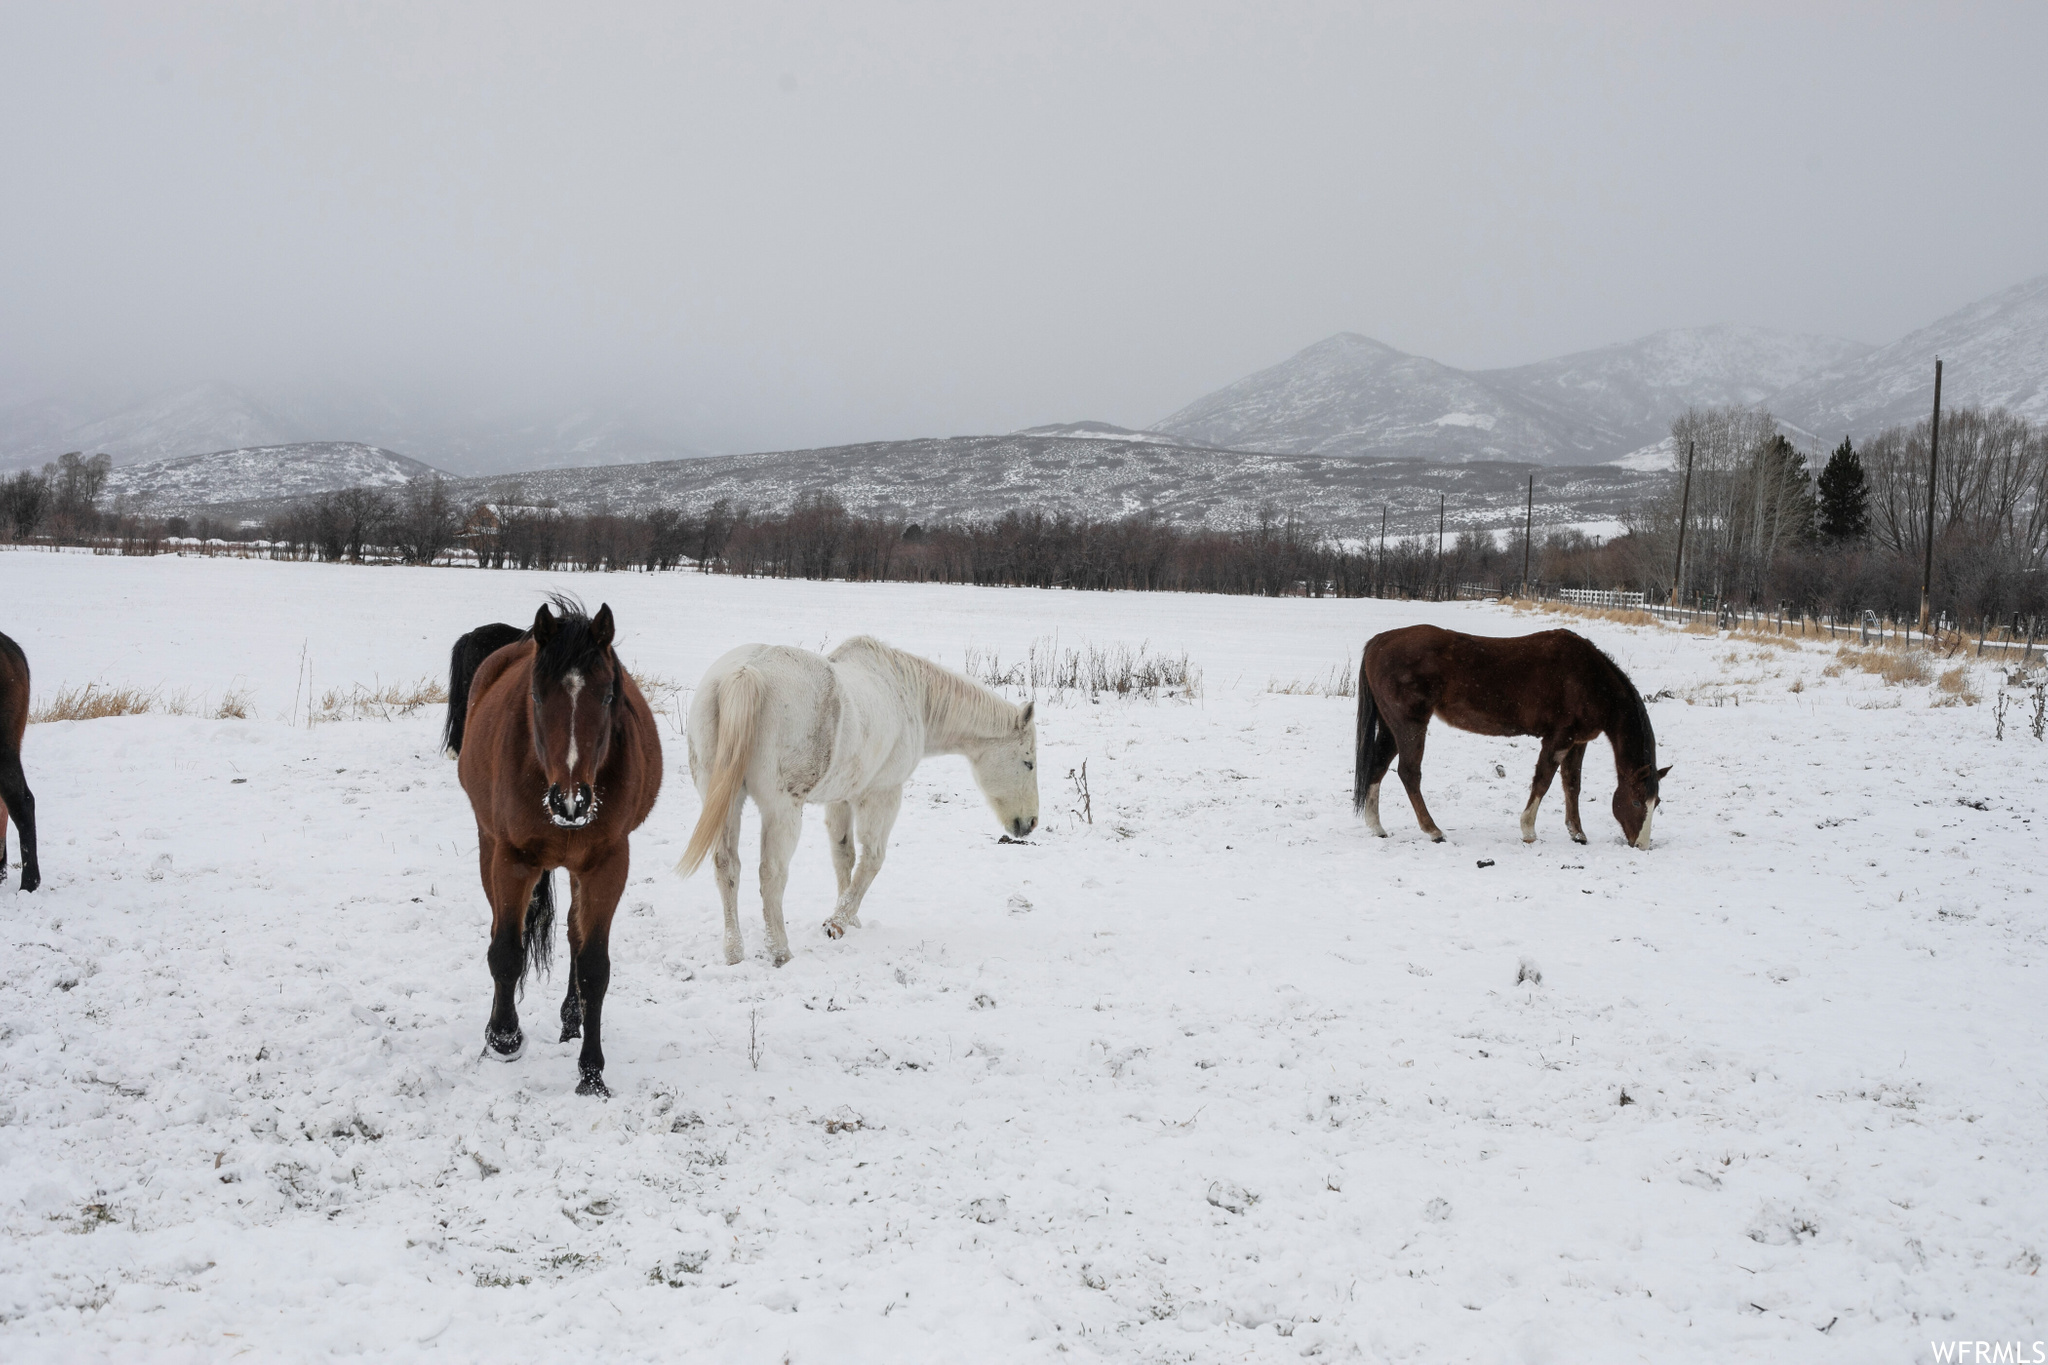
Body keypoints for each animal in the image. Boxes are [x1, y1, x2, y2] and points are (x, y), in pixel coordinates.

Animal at [452, 601, 659, 1096]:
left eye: (608, 696)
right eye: (537, 696)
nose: (572, 802)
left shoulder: (607, 864)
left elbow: (593, 965)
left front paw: (592, 1074)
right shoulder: (512, 859)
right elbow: (506, 951)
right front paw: (504, 1038)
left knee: (573, 936)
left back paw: (571, 1020)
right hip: (489, 846)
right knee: (502, 930)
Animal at [679, 634, 1040, 965]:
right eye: (1028, 762)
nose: (1030, 823)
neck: (908, 695)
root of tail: (744, 672)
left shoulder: (841, 799)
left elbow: (844, 856)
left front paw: (849, 918)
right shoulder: (883, 794)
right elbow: (872, 859)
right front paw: (836, 923)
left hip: (726, 803)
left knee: (727, 866)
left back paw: (734, 952)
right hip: (781, 809)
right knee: (771, 873)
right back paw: (779, 952)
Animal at [1359, 626, 1662, 843]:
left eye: (1656, 802)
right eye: (1636, 800)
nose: (1641, 845)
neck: (1591, 680)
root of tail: (1379, 641)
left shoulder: (1578, 742)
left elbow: (1572, 785)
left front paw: (1577, 833)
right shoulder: (1558, 738)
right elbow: (1543, 781)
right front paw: (1528, 830)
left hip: (1391, 727)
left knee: (1378, 766)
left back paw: (1377, 828)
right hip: (1410, 724)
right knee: (1409, 773)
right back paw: (1433, 830)